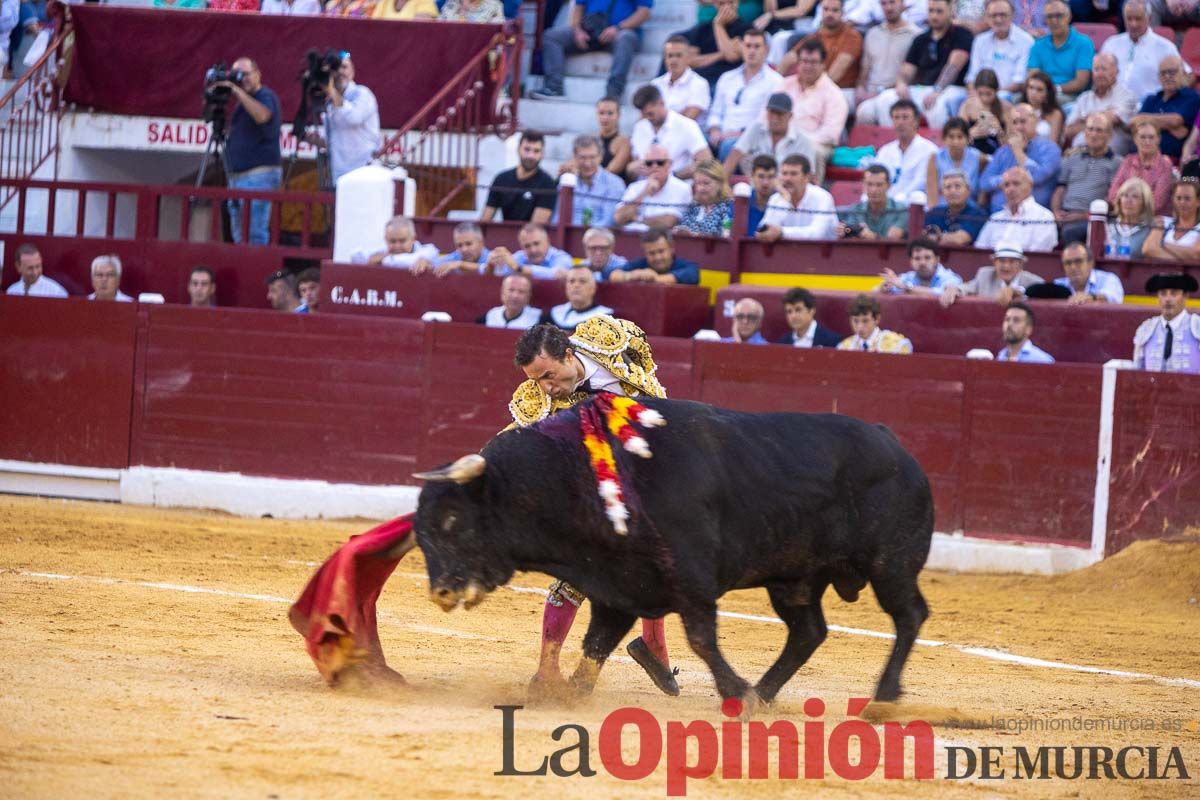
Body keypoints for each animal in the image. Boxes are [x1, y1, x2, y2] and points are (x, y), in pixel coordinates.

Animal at [417, 395, 931, 705]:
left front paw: (734, 692)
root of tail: (894, 443)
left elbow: (701, 637)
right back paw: (764, 695)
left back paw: (883, 695)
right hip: (794, 578)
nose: (440, 592)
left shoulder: (691, 580)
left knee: (909, 615)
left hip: (891, 564)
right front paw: (571, 696)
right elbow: (596, 643)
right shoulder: (617, 586)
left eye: (452, 519)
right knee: (808, 631)